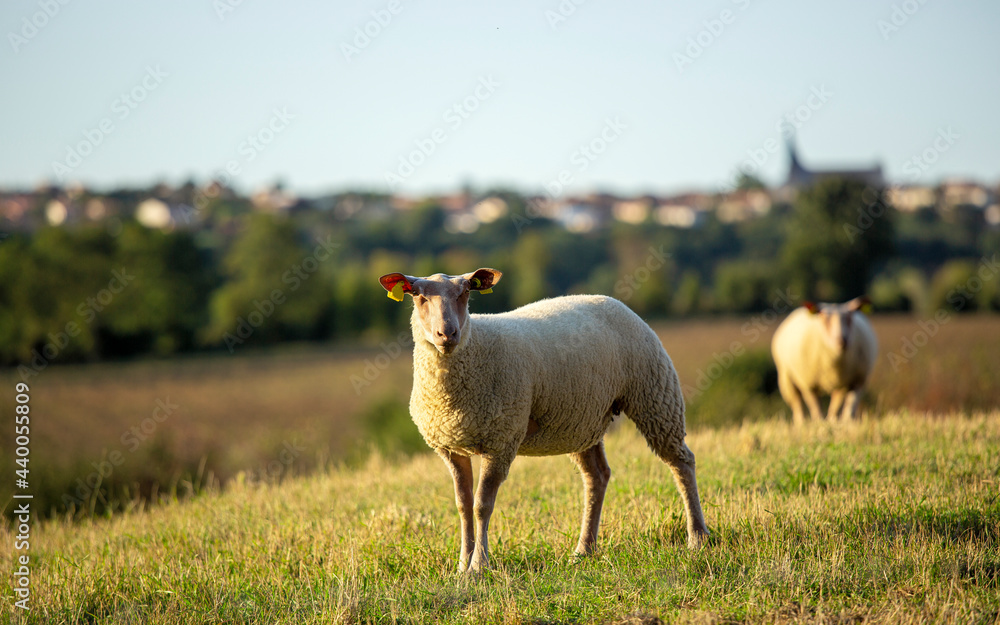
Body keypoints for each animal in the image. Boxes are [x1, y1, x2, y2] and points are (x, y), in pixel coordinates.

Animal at [378, 268, 710, 574]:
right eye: (418, 296)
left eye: (466, 293)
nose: (447, 334)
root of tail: (608, 299)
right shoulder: (450, 447)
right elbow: (462, 505)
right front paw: (462, 564)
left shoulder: (501, 441)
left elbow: (482, 505)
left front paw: (478, 566)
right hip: (581, 420)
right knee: (597, 476)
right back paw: (584, 550)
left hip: (655, 392)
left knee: (682, 462)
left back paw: (697, 538)